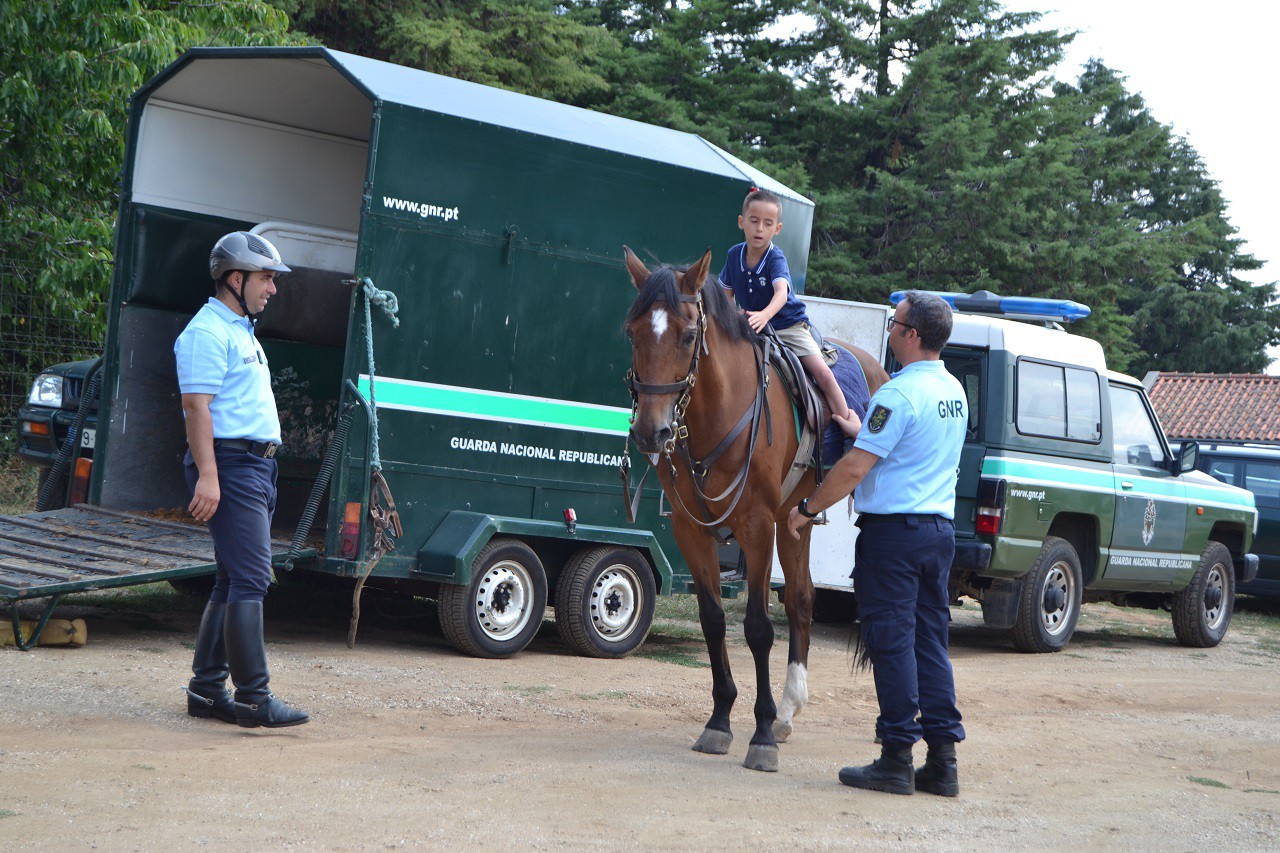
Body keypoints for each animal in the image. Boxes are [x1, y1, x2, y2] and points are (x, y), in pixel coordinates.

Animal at [622, 245, 890, 768]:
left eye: (688, 335)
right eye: (633, 332)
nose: (651, 431)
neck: (718, 414)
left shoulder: (757, 527)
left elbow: (759, 628)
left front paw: (760, 734)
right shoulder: (691, 530)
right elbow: (712, 620)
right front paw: (719, 721)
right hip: (795, 522)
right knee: (803, 600)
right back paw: (788, 711)